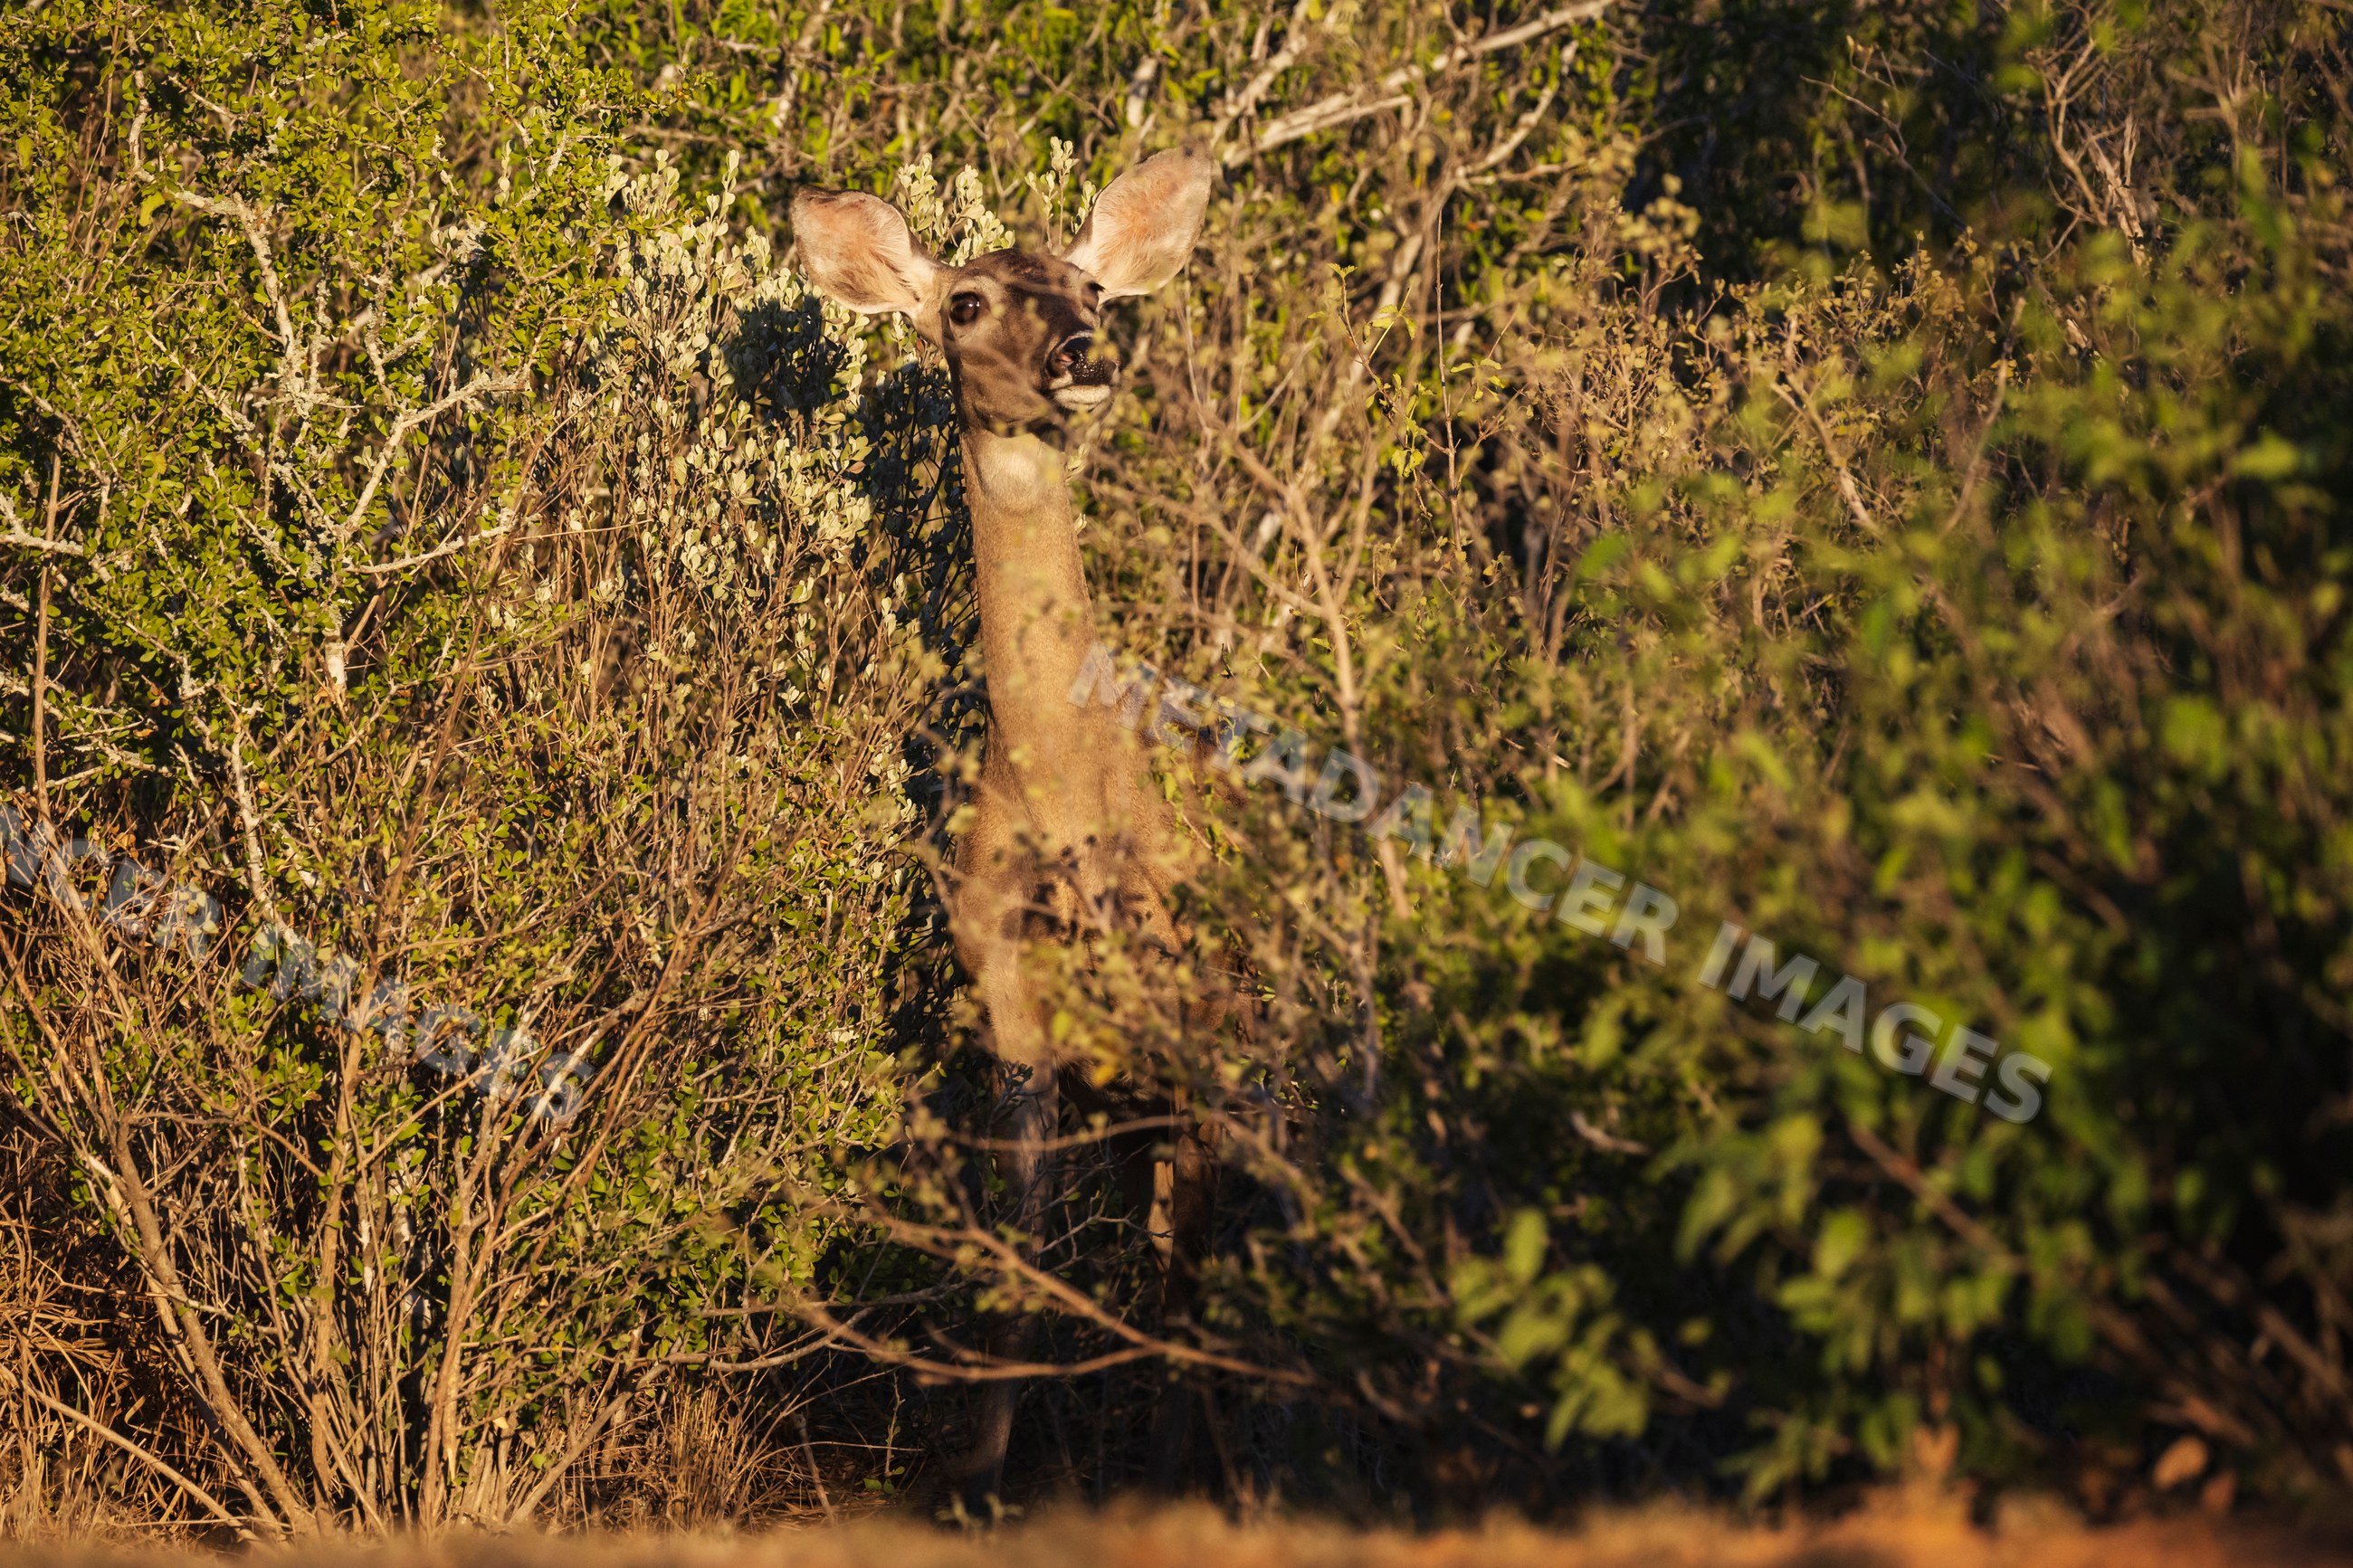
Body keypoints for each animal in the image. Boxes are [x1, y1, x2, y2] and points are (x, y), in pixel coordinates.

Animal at [790, 149, 1221, 1502]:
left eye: (1090, 284)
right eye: (967, 301)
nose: (1086, 348)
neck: (1066, 792)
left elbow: (1189, 1257)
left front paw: (1164, 1477)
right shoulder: (999, 968)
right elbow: (1023, 1224)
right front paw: (976, 1463)